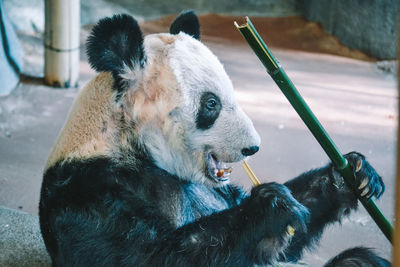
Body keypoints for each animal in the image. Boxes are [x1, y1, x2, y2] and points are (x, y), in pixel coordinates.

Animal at [39, 11, 390, 267]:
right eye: (211, 103)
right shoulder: (89, 190)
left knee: (359, 261)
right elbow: (145, 257)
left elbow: (281, 245)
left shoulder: (217, 191)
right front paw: (272, 207)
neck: (124, 139)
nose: (252, 147)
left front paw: (352, 173)